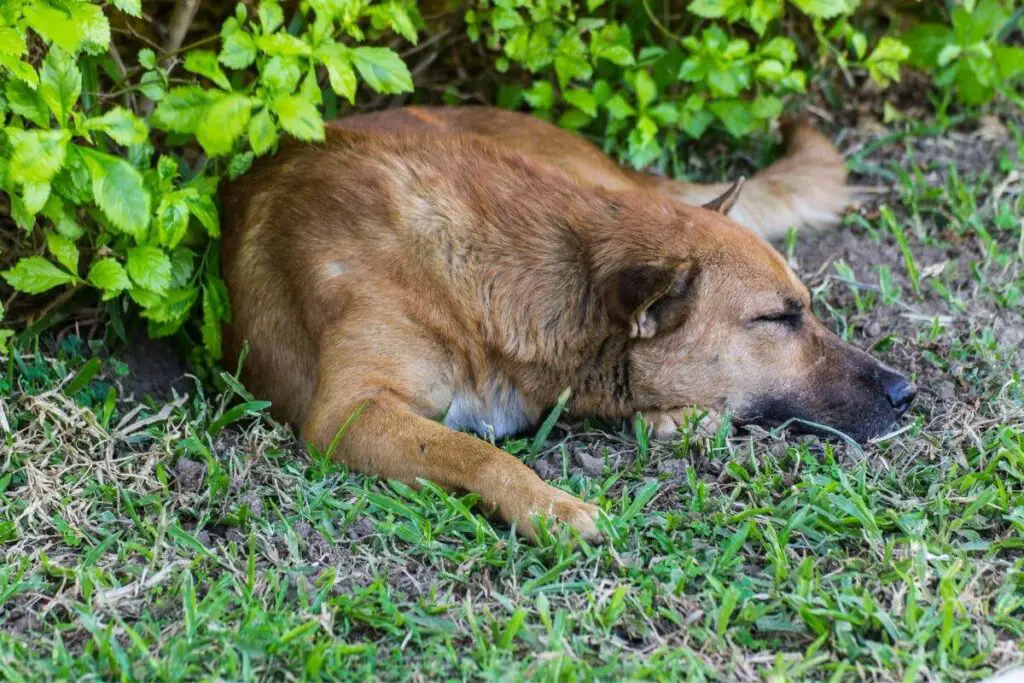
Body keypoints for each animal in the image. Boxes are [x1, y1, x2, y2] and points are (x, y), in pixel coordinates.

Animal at [220, 105, 917, 540]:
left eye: (805, 307)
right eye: (777, 317)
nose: (906, 392)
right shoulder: (351, 411)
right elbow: (477, 452)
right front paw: (546, 506)